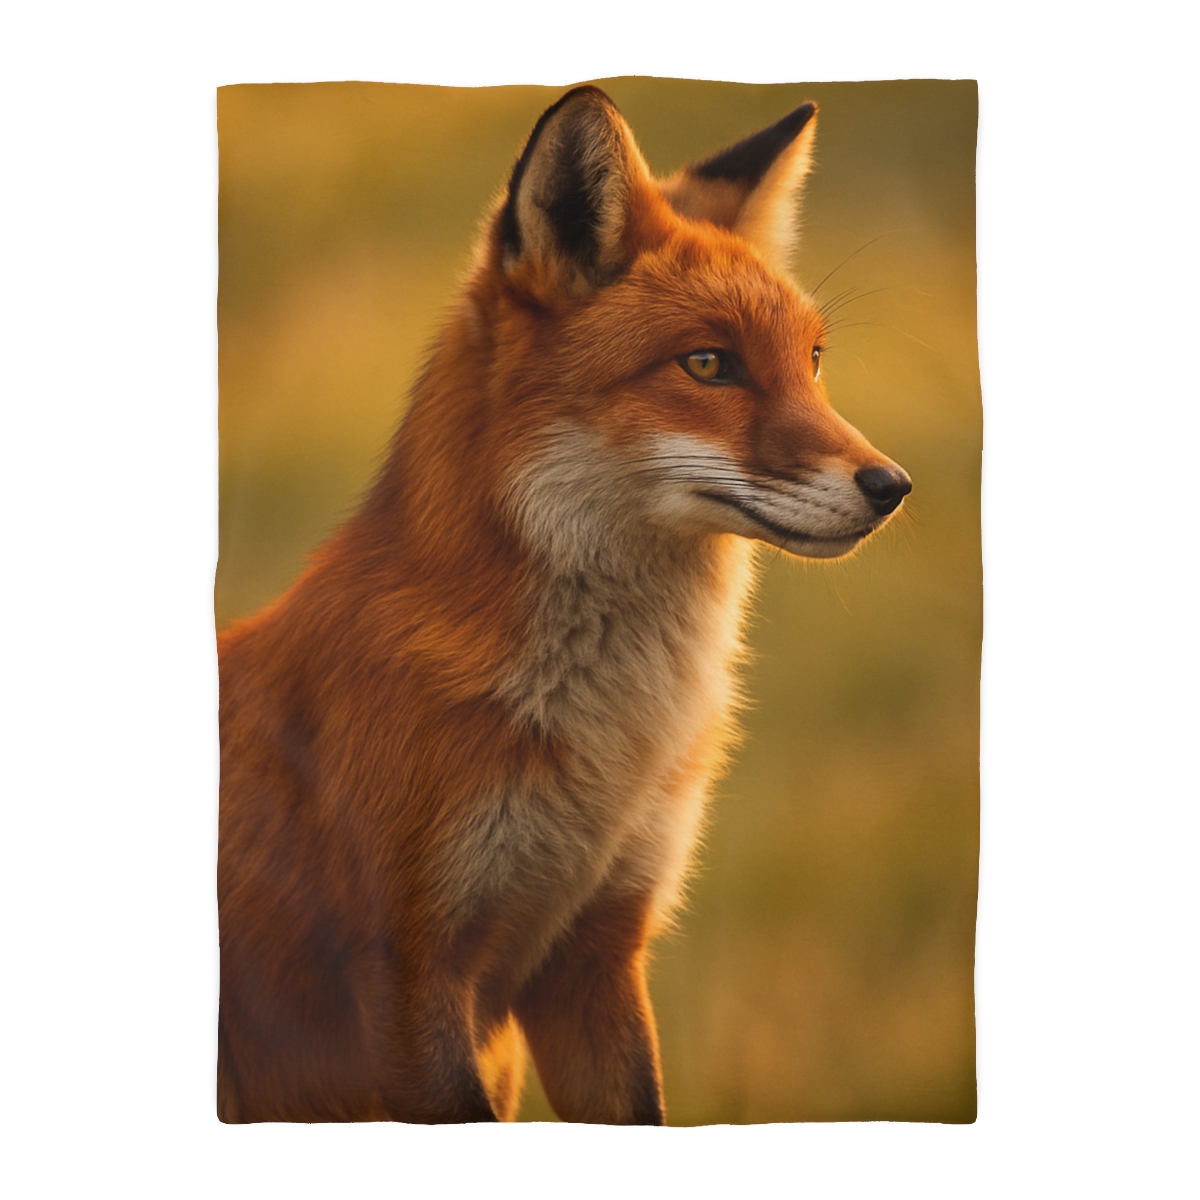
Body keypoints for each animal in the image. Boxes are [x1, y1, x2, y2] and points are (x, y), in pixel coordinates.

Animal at [217, 85, 912, 1125]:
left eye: (815, 362)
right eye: (709, 365)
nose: (893, 486)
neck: (610, 748)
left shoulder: (597, 959)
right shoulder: (409, 980)